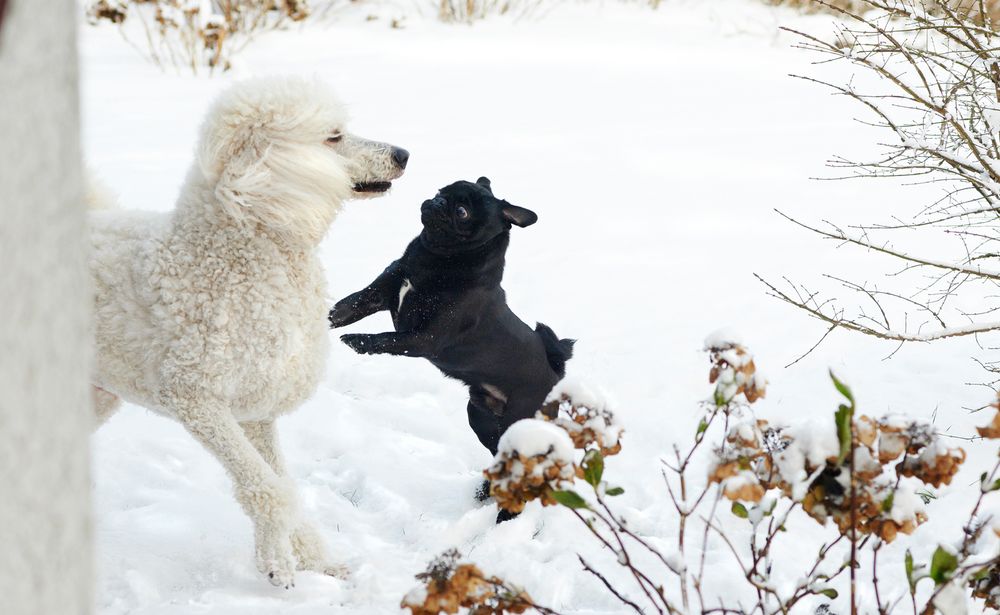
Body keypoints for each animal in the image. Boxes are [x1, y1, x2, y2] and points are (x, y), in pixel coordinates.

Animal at [332, 176, 576, 460]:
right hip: (480, 416)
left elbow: (385, 338)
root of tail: (556, 373)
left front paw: (357, 340)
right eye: (441, 191)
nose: (437, 201)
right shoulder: (378, 294)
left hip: (519, 421)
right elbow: (348, 306)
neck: (437, 259)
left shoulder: (424, 339)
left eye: (462, 212)